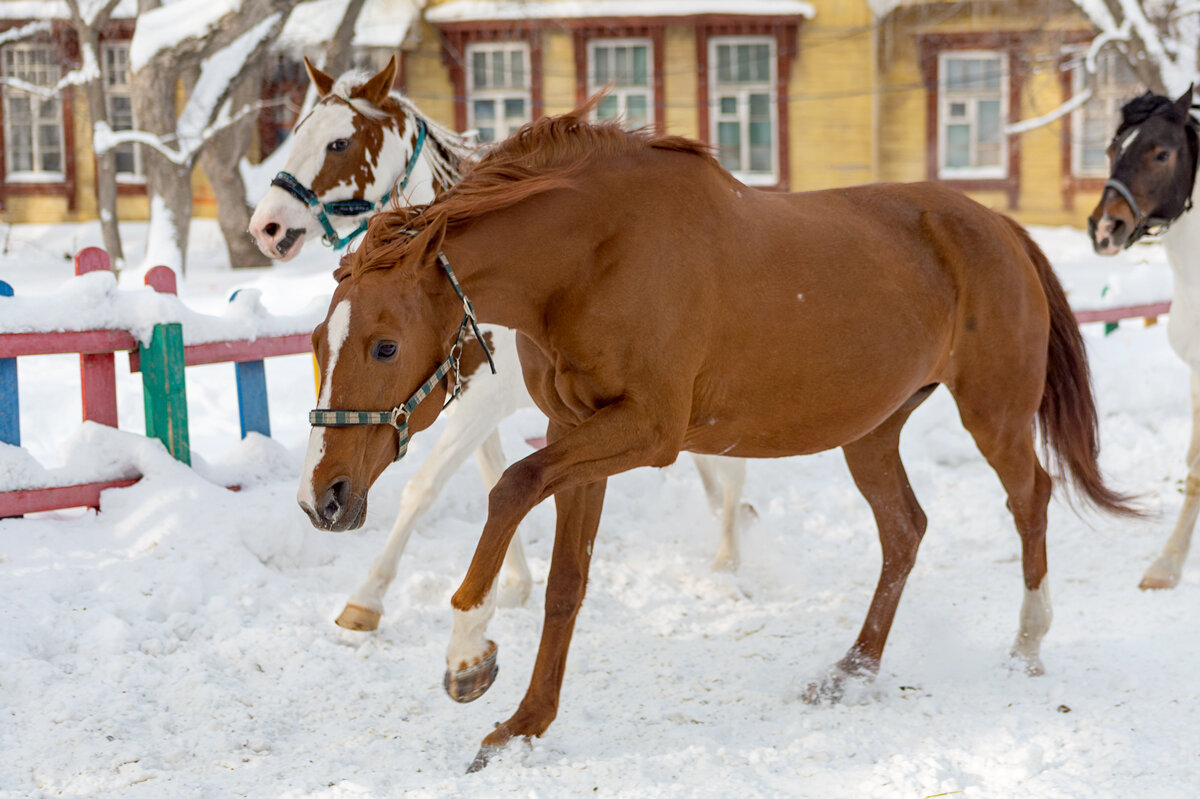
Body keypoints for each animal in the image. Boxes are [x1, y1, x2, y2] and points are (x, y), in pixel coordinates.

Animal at [300, 105, 1132, 767]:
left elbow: (510, 487)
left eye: (383, 345)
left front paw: (468, 655)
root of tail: (999, 226)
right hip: (871, 430)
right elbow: (567, 582)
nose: (324, 499)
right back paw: (852, 670)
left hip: (993, 412)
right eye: (315, 341)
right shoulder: (579, 431)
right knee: (905, 529)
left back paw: (1027, 645)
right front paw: (523, 726)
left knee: (1031, 497)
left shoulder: (648, 431)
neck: (593, 255)